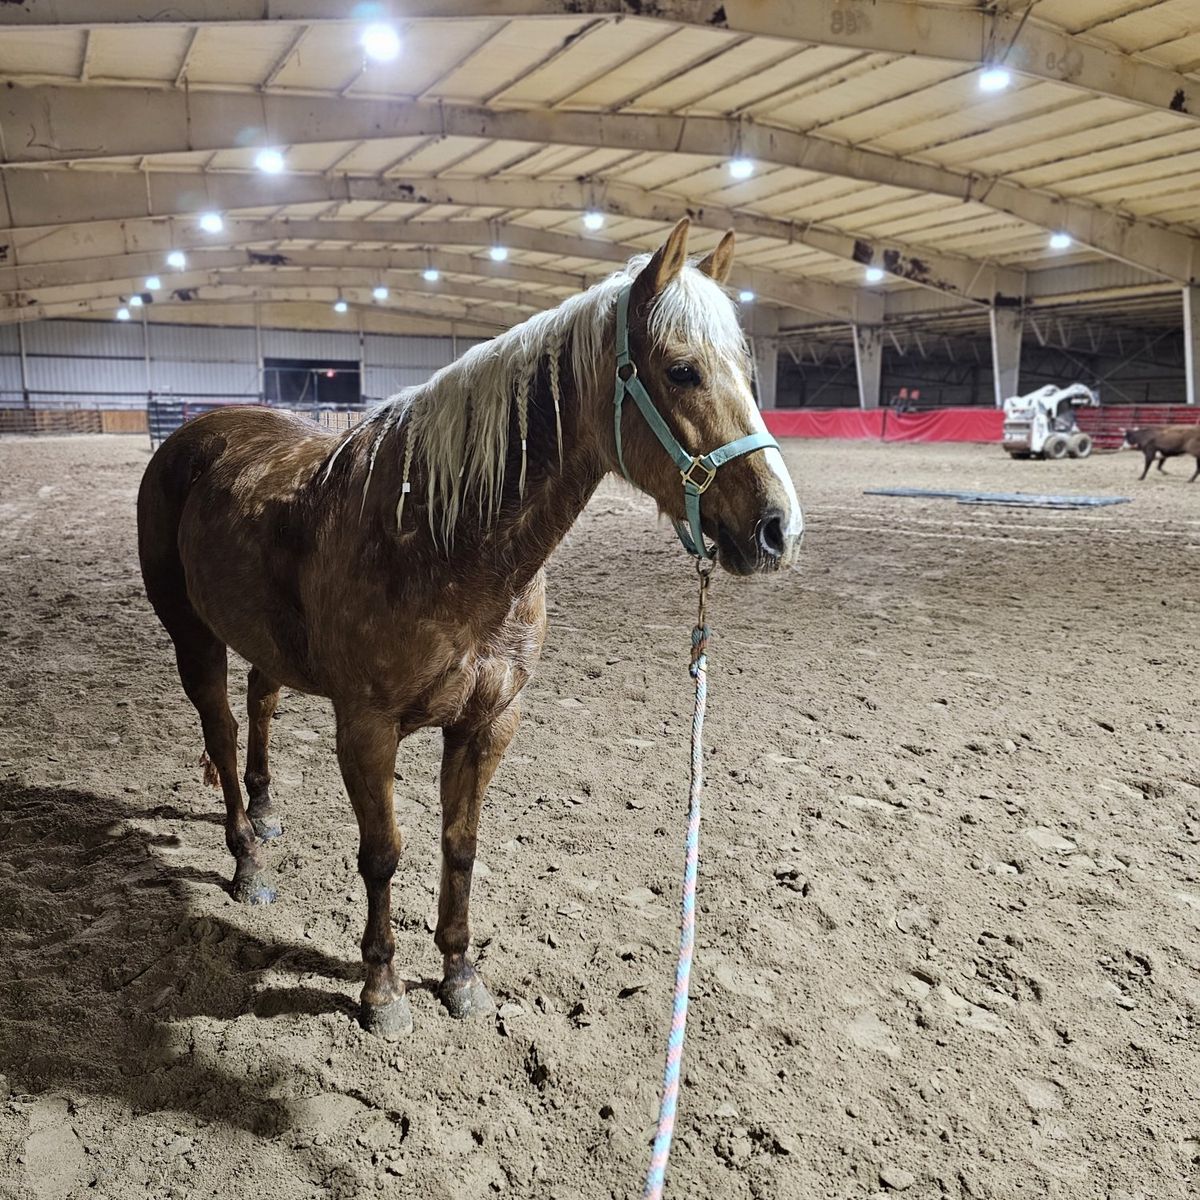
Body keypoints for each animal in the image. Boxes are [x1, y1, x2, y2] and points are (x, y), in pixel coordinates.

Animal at [136, 218, 803, 1036]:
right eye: (681, 371)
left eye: (748, 369)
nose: (777, 528)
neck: (442, 539)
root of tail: (196, 431)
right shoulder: (367, 727)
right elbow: (382, 853)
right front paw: (382, 992)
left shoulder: (490, 722)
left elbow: (461, 847)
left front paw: (459, 975)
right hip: (191, 636)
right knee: (224, 730)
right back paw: (247, 862)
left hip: (271, 642)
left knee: (261, 702)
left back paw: (265, 818)